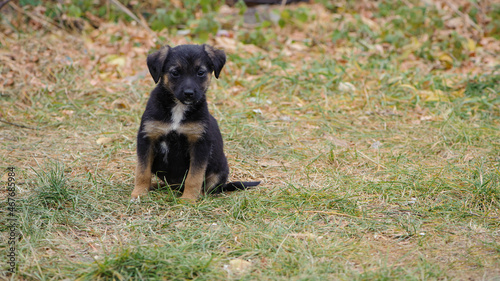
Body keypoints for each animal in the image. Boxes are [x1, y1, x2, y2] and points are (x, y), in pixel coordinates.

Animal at [131, 43, 260, 200]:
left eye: (200, 72)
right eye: (175, 72)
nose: (189, 94)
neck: (178, 108)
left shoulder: (199, 144)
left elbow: (194, 177)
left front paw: (188, 199)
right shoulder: (147, 137)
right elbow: (142, 171)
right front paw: (139, 193)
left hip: (221, 169)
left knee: (212, 188)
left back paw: (200, 195)